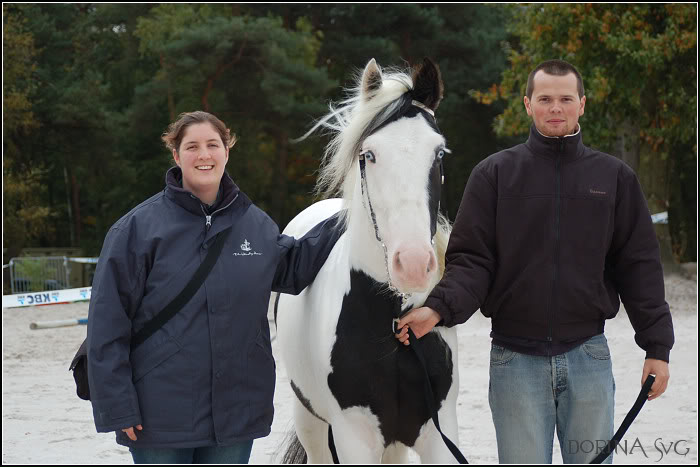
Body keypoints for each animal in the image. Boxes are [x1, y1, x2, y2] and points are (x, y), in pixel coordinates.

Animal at [274, 58, 460, 464]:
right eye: (369, 154)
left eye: (439, 153)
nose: (413, 264)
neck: (392, 321)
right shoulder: (354, 438)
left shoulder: (437, 436)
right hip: (310, 420)